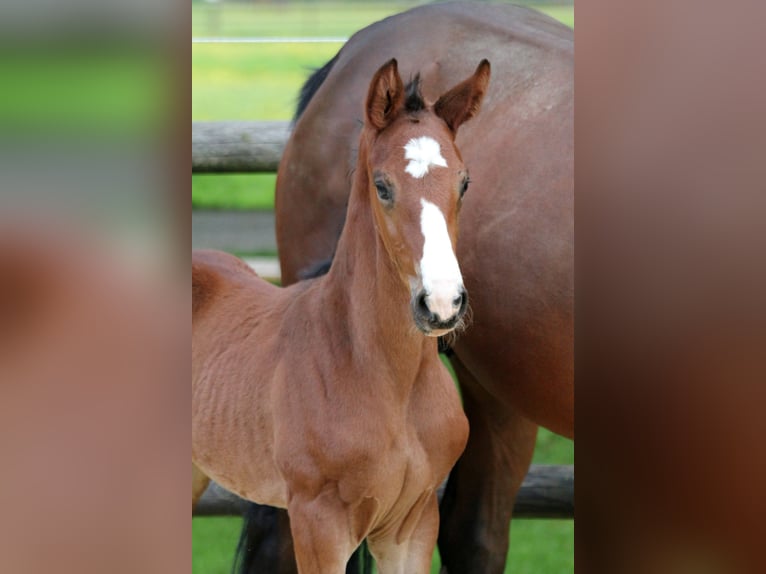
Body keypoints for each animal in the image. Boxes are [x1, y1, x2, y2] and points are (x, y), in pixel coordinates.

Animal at [255, 2, 572, 572]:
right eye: (381, 187)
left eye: (466, 183)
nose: (444, 301)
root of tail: (349, 51)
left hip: (501, 390)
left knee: (475, 534)